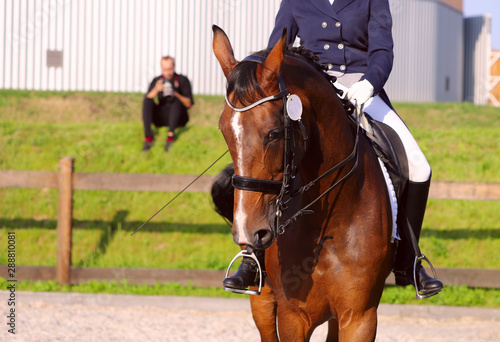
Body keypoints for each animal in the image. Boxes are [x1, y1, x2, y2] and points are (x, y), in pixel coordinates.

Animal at [213, 25, 392, 340]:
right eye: (224, 131)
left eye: (273, 133)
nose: (248, 231)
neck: (331, 223)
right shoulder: (292, 317)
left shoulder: (360, 317)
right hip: (262, 302)